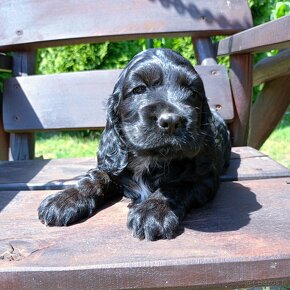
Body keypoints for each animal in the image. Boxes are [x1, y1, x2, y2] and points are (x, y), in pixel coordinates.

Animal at [38, 48, 231, 241]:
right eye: (139, 89)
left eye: (193, 92)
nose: (171, 121)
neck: (149, 158)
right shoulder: (113, 165)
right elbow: (96, 177)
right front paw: (64, 199)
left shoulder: (203, 178)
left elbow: (176, 186)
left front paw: (151, 211)